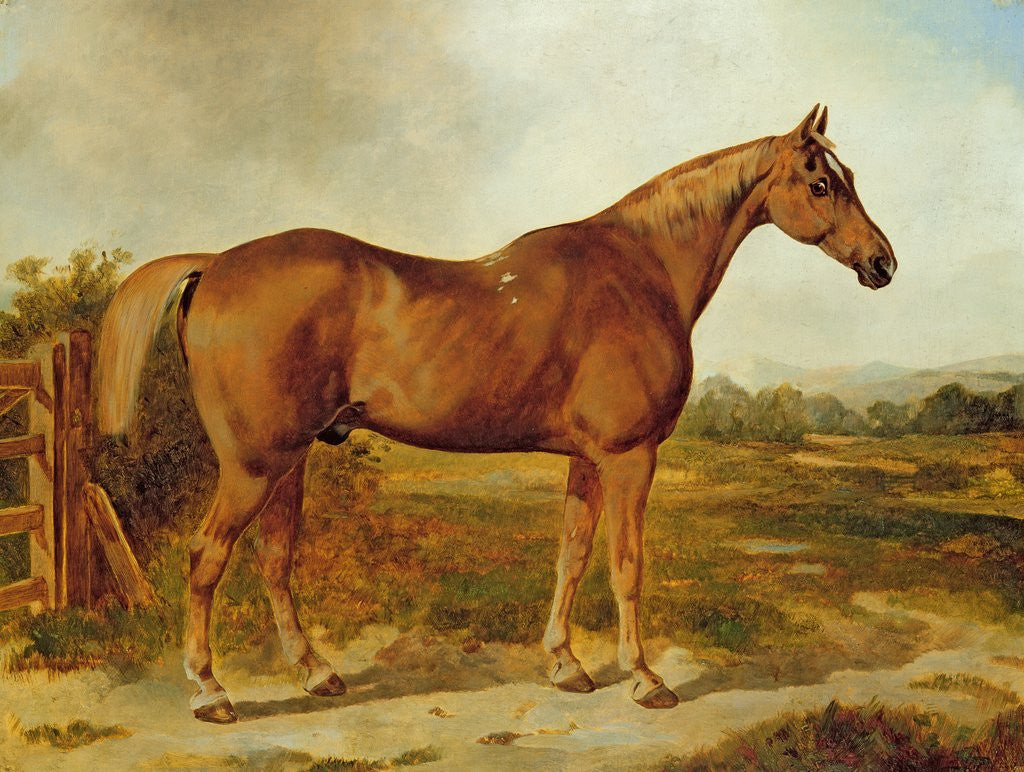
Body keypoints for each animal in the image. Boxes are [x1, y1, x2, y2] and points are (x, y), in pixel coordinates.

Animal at [96, 105, 895, 723]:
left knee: (274, 560)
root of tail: (217, 263)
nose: (883, 263)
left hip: (290, 461)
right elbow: (626, 565)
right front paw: (645, 680)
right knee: (206, 558)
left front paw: (567, 666)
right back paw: (209, 693)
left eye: (850, 177)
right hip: (253, 466)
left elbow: (573, 556)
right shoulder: (630, 457)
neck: (640, 270)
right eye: (822, 182)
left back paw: (317, 674)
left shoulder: (589, 462)